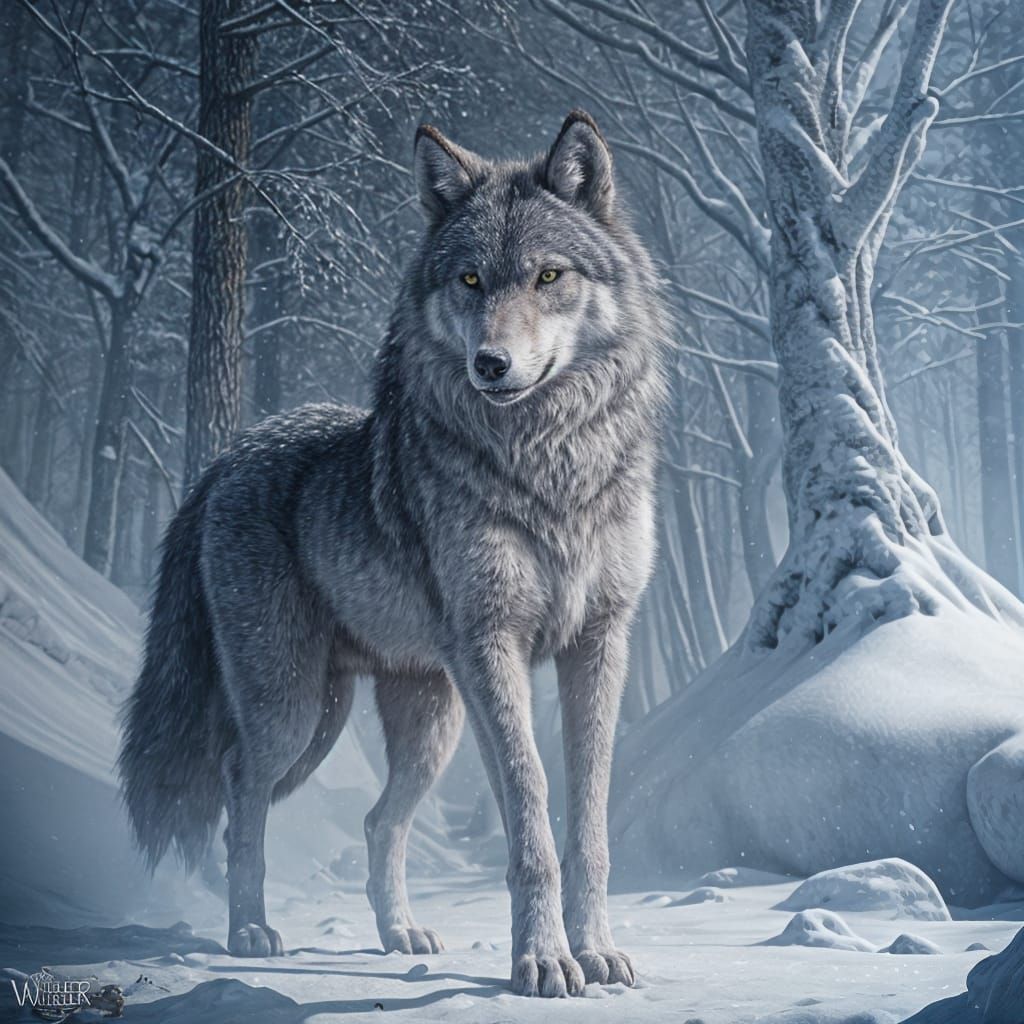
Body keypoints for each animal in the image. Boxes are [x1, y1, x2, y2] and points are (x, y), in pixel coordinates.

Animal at [119, 110, 667, 998]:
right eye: (471, 281)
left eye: (549, 276)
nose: (490, 364)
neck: (550, 464)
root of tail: (227, 458)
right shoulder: (492, 647)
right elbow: (532, 810)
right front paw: (544, 961)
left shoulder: (600, 641)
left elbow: (587, 822)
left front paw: (598, 953)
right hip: (295, 712)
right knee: (241, 789)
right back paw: (249, 931)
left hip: (421, 720)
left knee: (378, 819)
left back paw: (398, 932)